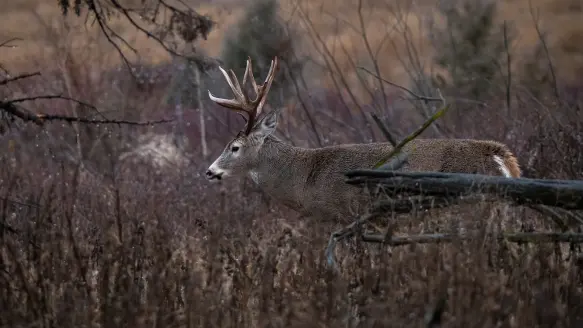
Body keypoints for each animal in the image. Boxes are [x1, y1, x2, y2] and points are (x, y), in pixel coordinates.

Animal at [205, 57, 524, 223]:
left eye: (234, 147)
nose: (209, 171)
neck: (304, 178)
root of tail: (499, 157)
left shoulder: (346, 214)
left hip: (470, 207)